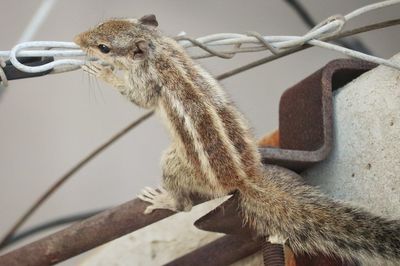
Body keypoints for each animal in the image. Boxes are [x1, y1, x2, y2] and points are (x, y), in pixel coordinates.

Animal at [75, 15, 400, 264]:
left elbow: (137, 98)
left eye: (103, 47)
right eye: (102, 24)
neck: (157, 50)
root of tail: (244, 180)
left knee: (184, 205)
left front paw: (102, 72)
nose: (78, 39)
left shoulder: (146, 83)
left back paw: (165, 199)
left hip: (176, 164)